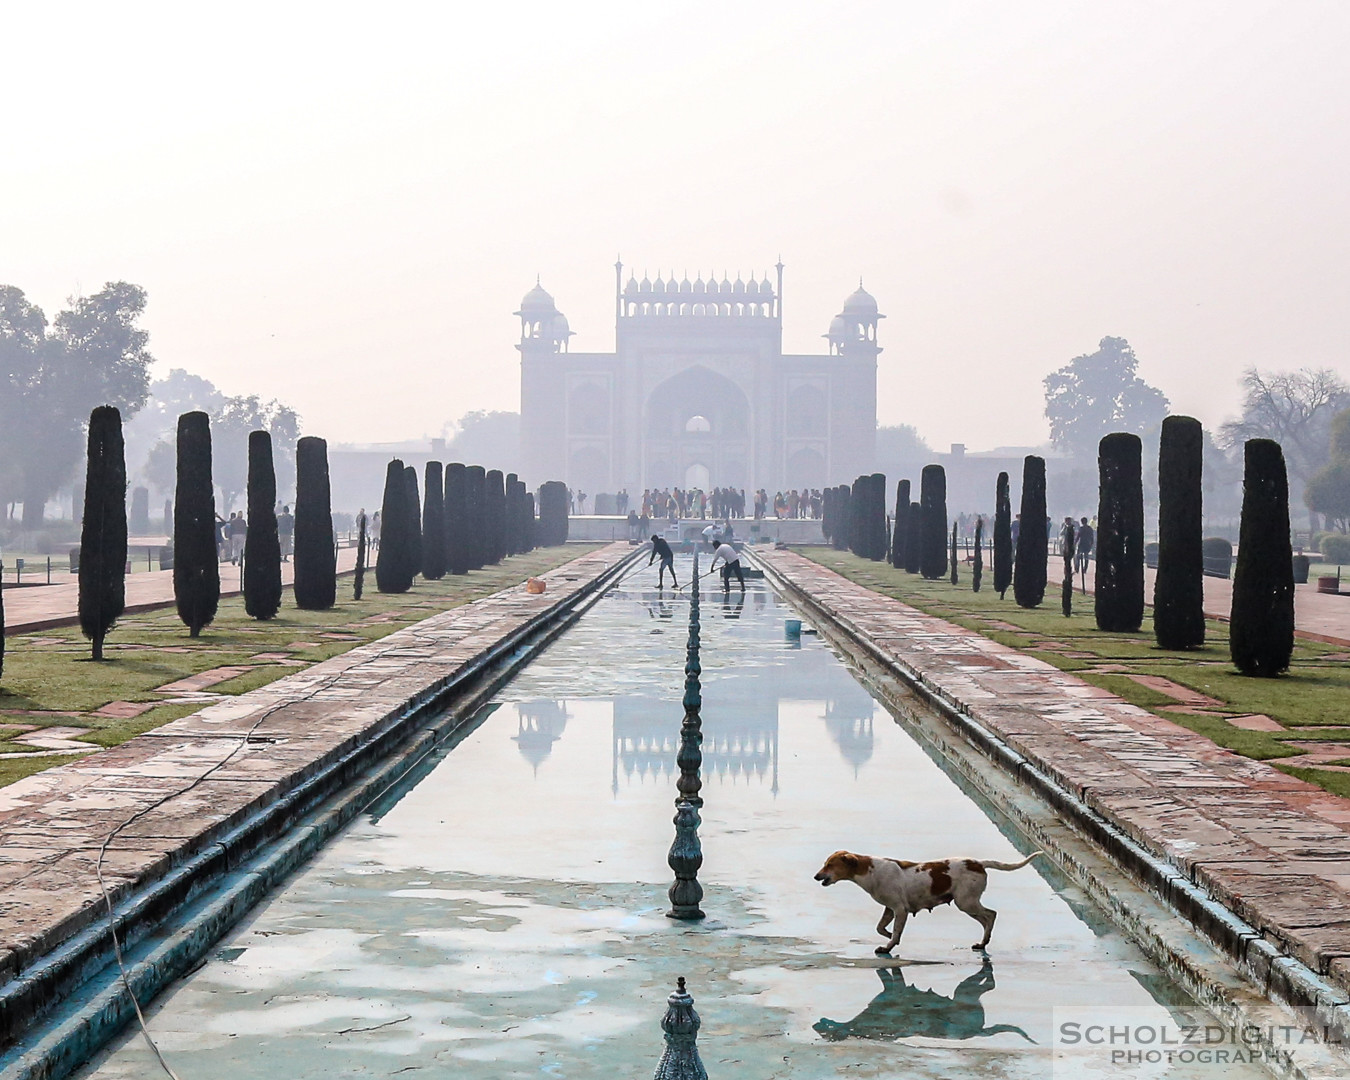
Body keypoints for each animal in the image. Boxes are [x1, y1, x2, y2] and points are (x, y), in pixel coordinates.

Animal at [810, 853, 1042, 955]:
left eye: (830, 865)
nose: (816, 876)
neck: (870, 870)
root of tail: (978, 863)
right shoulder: (889, 908)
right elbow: (881, 927)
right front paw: (888, 936)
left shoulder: (900, 910)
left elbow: (895, 932)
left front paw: (889, 945)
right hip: (967, 903)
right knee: (987, 918)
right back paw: (982, 943)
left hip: (966, 902)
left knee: (991, 915)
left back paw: (984, 942)